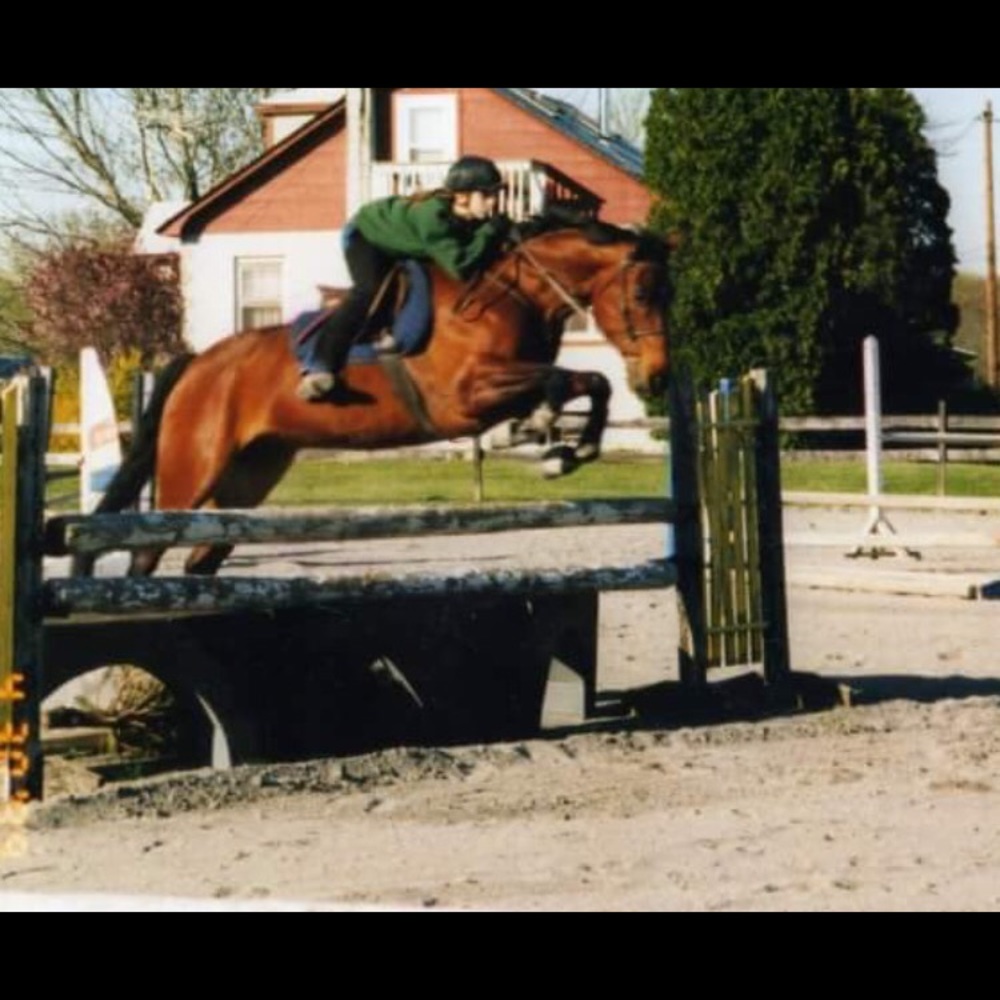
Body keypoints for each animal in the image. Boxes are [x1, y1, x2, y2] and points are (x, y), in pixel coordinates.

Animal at [84, 212, 673, 578]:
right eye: (644, 292)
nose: (659, 379)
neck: (510, 294)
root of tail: (197, 364)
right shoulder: (464, 396)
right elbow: (565, 380)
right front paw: (551, 443)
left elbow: (587, 382)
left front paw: (559, 444)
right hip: (193, 469)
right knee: (147, 555)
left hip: (249, 475)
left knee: (201, 558)